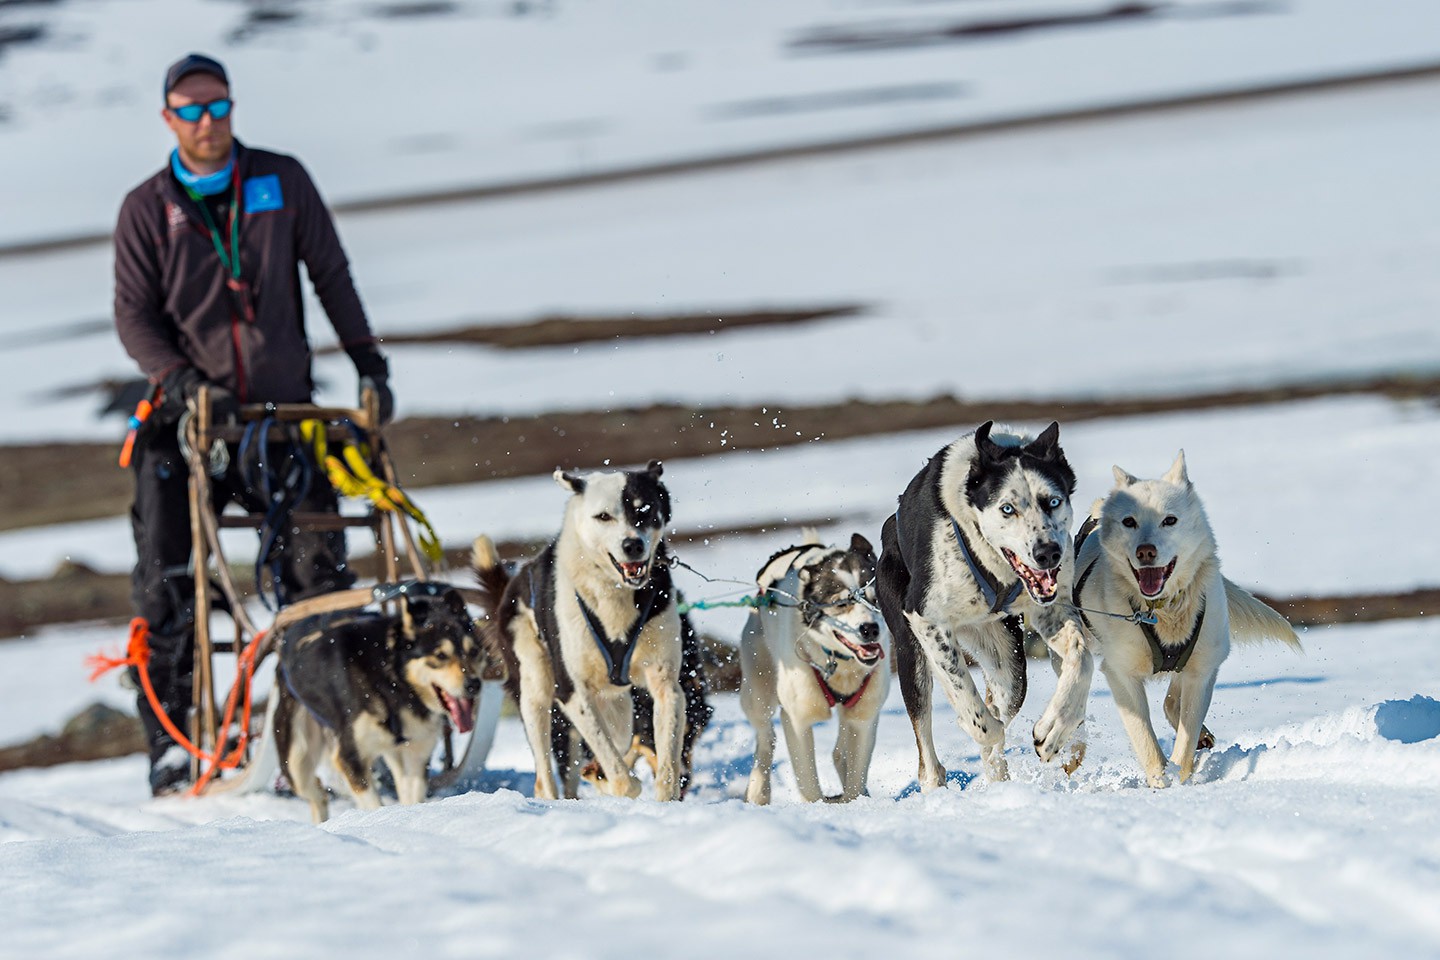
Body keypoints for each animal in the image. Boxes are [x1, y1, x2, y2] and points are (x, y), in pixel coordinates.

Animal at [472, 460, 685, 800]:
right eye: (603, 516)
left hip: (618, 708)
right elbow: (622, 777)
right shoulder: (571, 691)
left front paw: (665, 799)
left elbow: (666, 767)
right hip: (535, 691)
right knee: (545, 774)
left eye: (645, 509)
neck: (614, 595)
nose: (633, 545)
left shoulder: (666, 684)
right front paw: (620, 783)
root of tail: (512, 586)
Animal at [743, 532, 887, 805]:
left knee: (840, 751)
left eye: (876, 599)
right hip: (758, 692)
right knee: (766, 737)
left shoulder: (865, 716)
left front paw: (855, 799)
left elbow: (856, 773)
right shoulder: (797, 719)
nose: (870, 629)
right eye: (840, 603)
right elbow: (808, 784)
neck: (839, 664)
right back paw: (758, 791)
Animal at [875, 423, 1088, 788]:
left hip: (1007, 659)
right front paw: (983, 726)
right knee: (928, 746)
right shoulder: (926, 619)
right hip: (910, 651)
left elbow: (1081, 656)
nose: (1048, 553)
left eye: (1053, 501)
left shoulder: (1053, 608)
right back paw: (937, 782)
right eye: (1007, 508)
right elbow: (973, 707)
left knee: (1006, 696)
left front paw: (1057, 729)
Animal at [1082, 454, 1307, 782]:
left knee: (1173, 700)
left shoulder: (1201, 672)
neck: (1162, 611)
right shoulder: (1120, 673)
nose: (1145, 551)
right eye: (1129, 522)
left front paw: (1180, 774)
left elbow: (1185, 741)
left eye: (1169, 520)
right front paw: (1160, 780)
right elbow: (1145, 740)